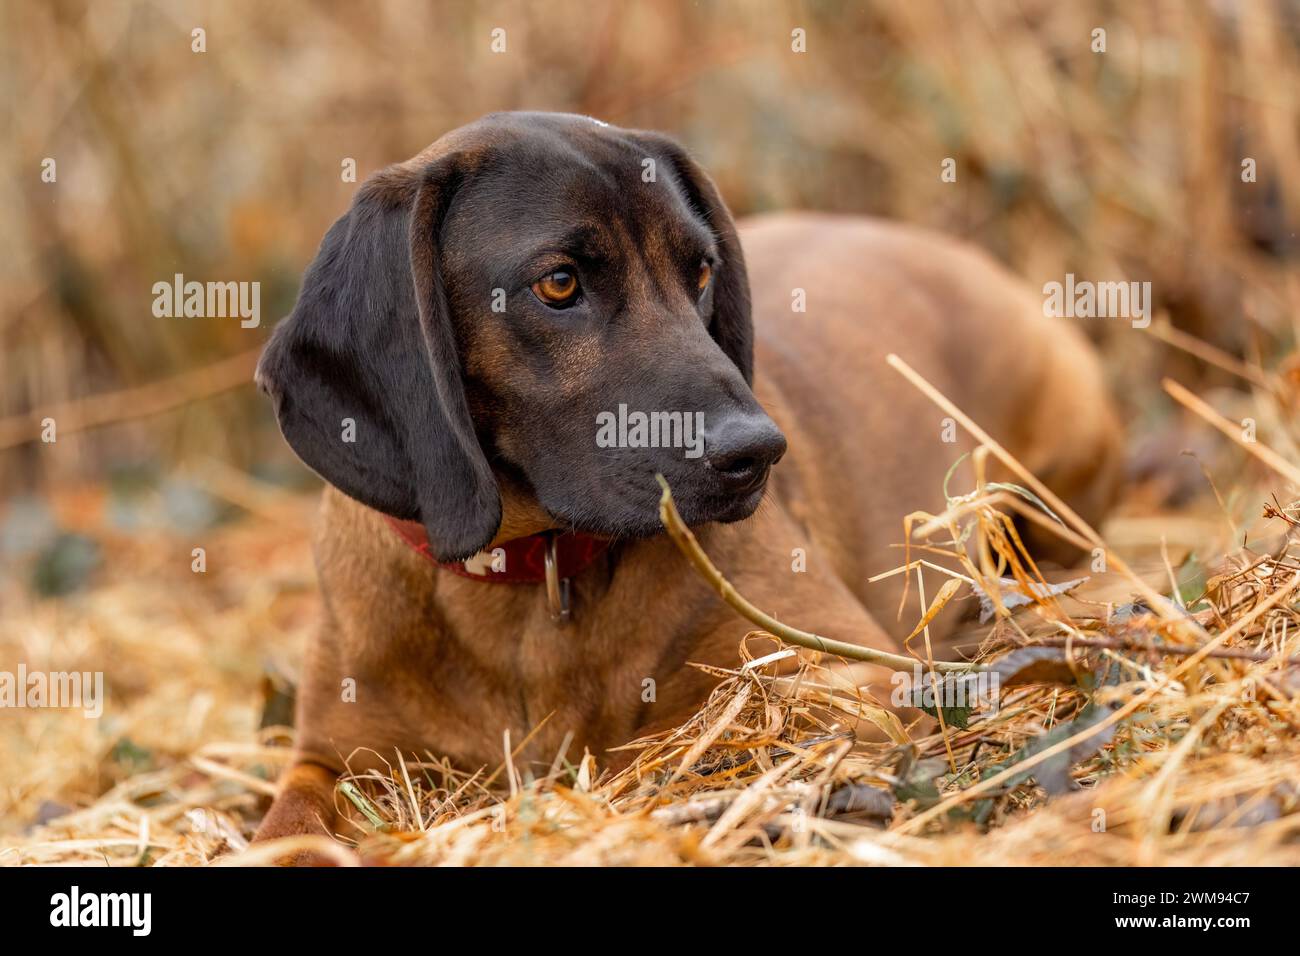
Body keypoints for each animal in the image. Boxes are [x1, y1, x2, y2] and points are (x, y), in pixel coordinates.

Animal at [250, 110, 1118, 842]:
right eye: (559, 283)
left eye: (701, 272)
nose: (757, 452)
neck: (529, 577)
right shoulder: (334, 755)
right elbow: (285, 830)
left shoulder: (846, 675)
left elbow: (663, 746)